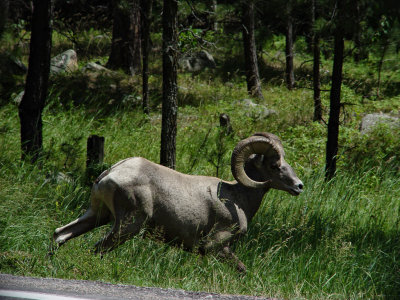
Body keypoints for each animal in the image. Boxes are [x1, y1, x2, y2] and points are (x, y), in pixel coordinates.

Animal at [53, 132, 304, 270]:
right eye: (274, 165)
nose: (299, 186)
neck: (238, 198)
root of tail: (109, 174)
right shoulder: (216, 246)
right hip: (128, 225)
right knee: (99, 248)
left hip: (98, 215)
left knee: (60, 234)